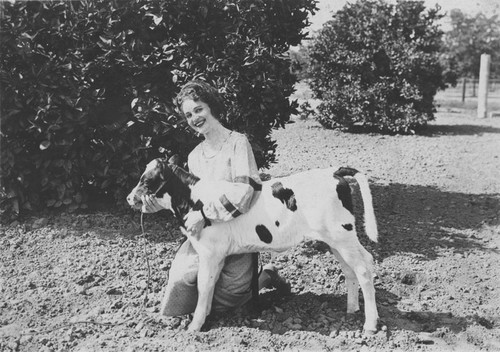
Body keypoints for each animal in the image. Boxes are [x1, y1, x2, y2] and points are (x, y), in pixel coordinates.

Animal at [127, 158, 380, 334]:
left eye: (146, 180)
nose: (129, 198)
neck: (193, 202)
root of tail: (333, 171)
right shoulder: (217, 255)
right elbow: (210, 284)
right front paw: (205, 315)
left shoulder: (209, 252)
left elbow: (203, 285)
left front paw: (195, 325)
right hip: (335, 240)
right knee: (351, 269)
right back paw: (352, 309)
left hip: (342, 235)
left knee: (364, 267)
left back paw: (370, 324)